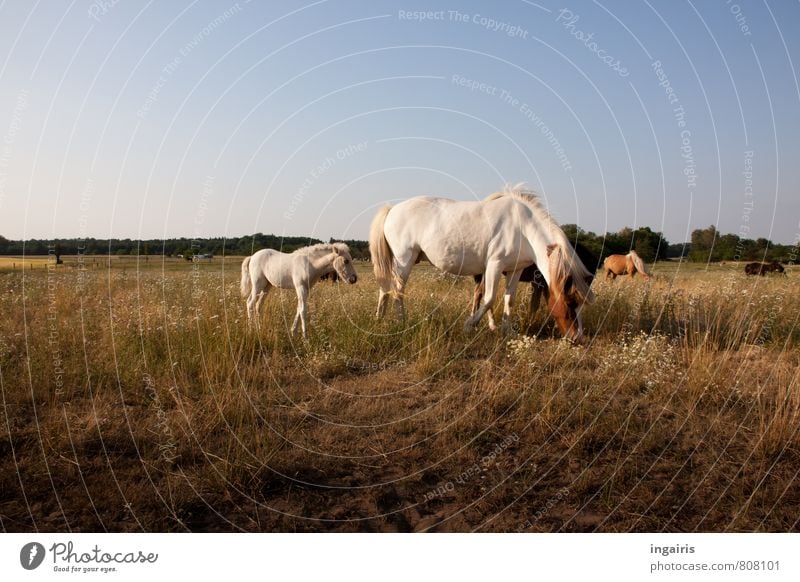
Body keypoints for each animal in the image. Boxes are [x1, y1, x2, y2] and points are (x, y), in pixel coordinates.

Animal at [368, 187, 592, 342]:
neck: (522, 228)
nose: (578, 338)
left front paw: (507, 331)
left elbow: (509, 299)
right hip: (404, 260)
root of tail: (392, 209)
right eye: (570, 302)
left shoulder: (515, 270)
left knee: (385, 289)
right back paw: (401, 322)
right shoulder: (494, 265)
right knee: (398, 291)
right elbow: (489, 298)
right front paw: (470, 326)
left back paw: (380, 318)